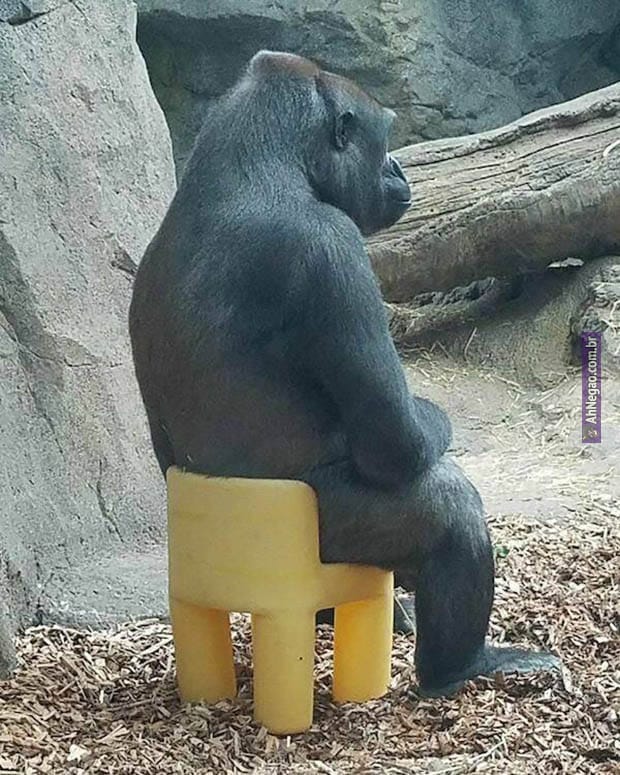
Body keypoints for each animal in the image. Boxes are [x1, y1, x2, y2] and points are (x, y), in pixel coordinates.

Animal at [129, 50, 559, 697]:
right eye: (384, 140)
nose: (400, 168)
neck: (250, 167)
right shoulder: (334, 247)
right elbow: (397, 443)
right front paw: (431, 423)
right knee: (448, 503)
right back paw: (457, 667)